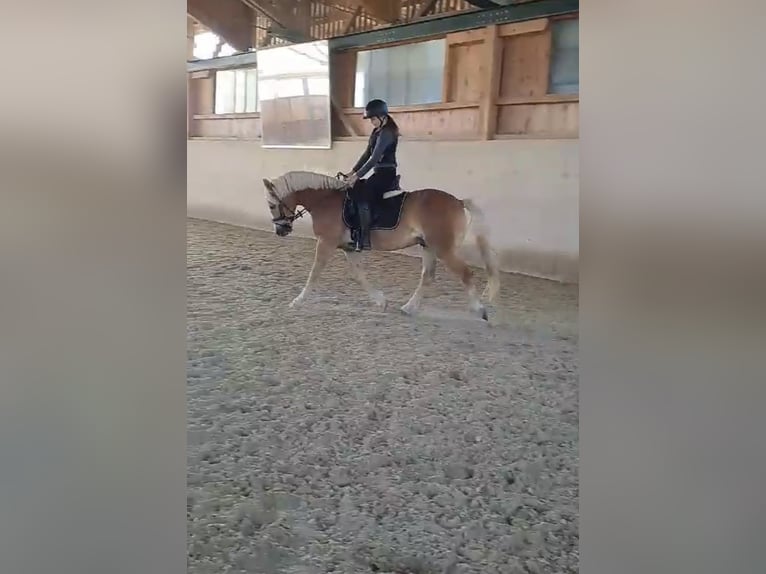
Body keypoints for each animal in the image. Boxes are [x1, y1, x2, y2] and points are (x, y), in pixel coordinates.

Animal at [262, 171, 504, 324]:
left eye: (272, 205)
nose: (280, 231)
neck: (325, 201)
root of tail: (458, 201)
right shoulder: (348, 248)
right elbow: (359, 276)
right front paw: (381, 301)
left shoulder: (326, 243)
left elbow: (314, 273)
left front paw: (298, 300)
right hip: (428, 247)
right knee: (428, 276)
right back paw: (409, 308)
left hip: (443, 249)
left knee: (465, 274)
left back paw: (479, 310)